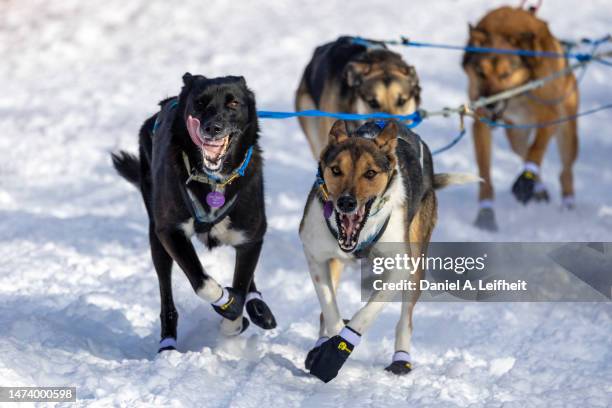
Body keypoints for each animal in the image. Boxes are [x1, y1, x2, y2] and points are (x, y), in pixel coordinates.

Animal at [112, 72, 278, 350]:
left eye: (234, 103)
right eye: (199, 103)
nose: (213, 127)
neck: (214, 181)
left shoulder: (252, 237)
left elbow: (242, 283)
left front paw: (233, 322)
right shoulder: (170, 233)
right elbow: (202, 283)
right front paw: (228, 306)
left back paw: (257, 306)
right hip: (156, 241)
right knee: (167, 297)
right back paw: (167, 343)